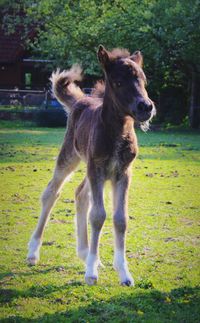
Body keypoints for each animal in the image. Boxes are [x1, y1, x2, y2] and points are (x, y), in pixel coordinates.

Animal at [27, 45, 155, 286]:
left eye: (144, 80)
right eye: (118, 82)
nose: (146, 107)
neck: (118, 132)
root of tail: (80, 101)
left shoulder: (122, 172)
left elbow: (120, 218)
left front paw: (124, 273)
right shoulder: (98, 170)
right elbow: (98, 216)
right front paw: (91, 274)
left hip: (91, 168)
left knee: (80, 194)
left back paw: (86, 254)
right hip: (71, 157)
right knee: (51, 193)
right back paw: (33, 252)